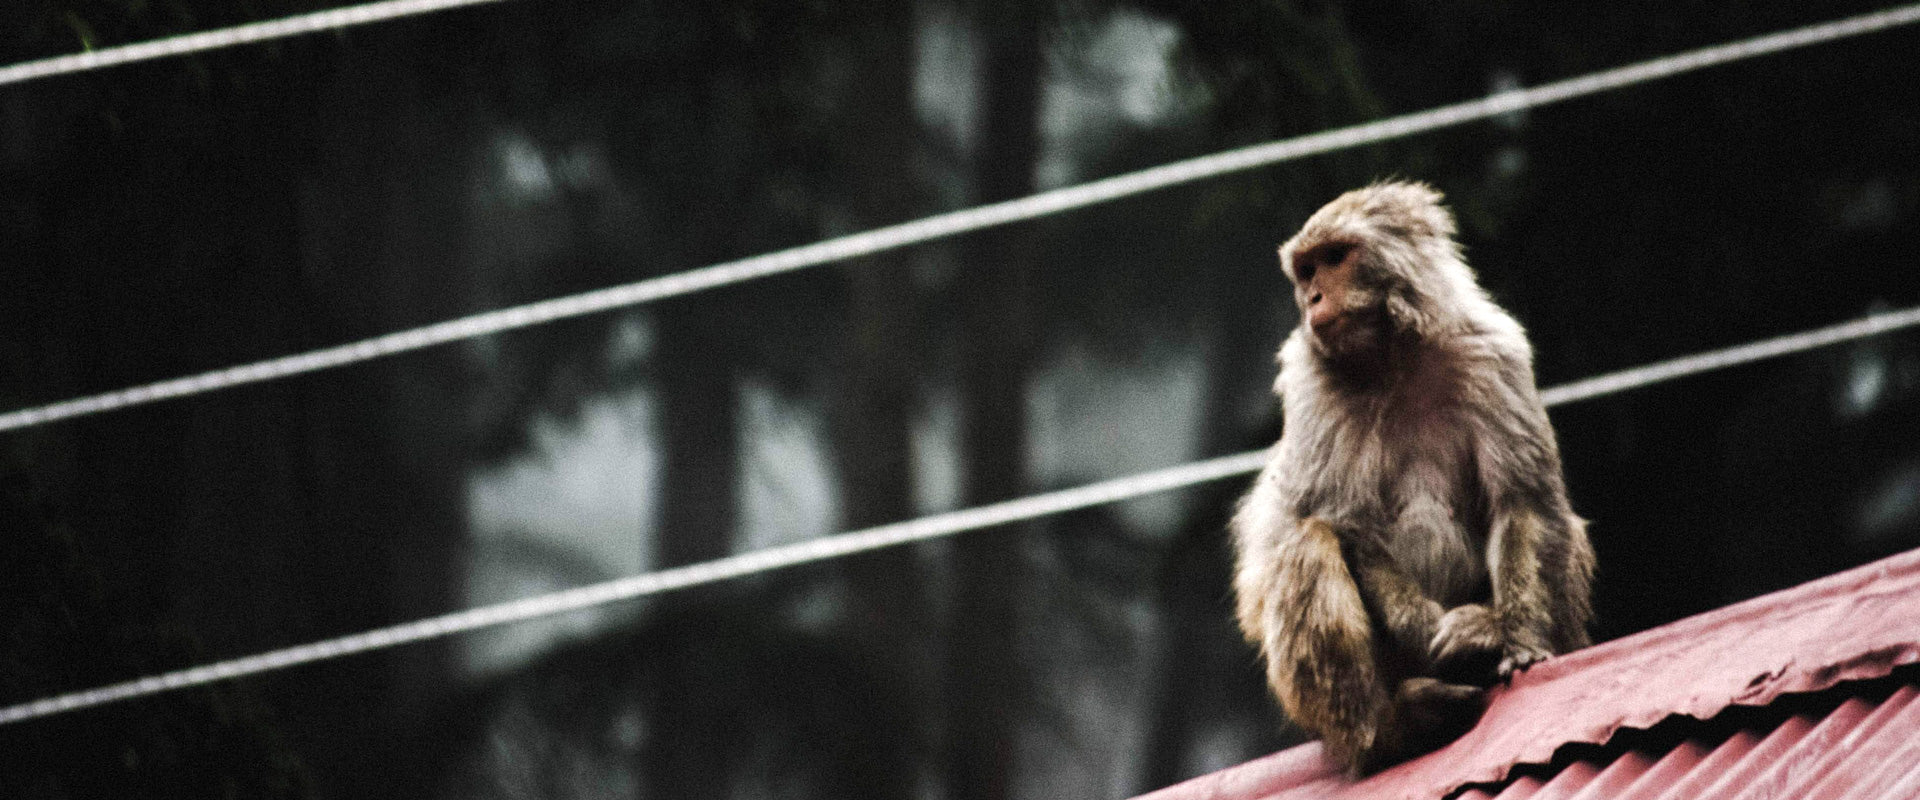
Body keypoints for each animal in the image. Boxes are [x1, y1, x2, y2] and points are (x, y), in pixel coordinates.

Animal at [1230, 181, 1595, 775]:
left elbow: (1521, 503)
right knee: (1306, 541)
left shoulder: (1492, 353)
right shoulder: (1312, 383)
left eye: (1334, 258)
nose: (1313, 299)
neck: (1395, 356)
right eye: (1306, 271)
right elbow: (1347, 524)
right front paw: (1434, 632)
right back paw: (1387, 731)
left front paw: (1511, 638)